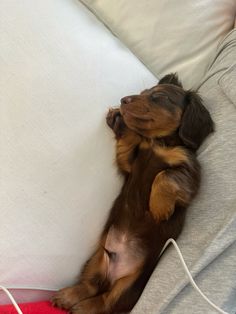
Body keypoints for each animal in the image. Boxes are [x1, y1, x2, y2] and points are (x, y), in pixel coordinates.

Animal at [52, 74, 214, 314]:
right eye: (143, 92)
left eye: (160, 96)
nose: (123, 100)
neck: (157, 143)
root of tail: (114, 274)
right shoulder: (129, 164)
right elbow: (128, 144)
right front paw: (122, 124)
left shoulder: (191, 175)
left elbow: (166, 176)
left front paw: (159, 207)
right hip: (97, 259)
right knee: (92, 285)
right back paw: (69, 296)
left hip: (129, 284)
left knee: (107, 302)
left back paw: (84, 307)